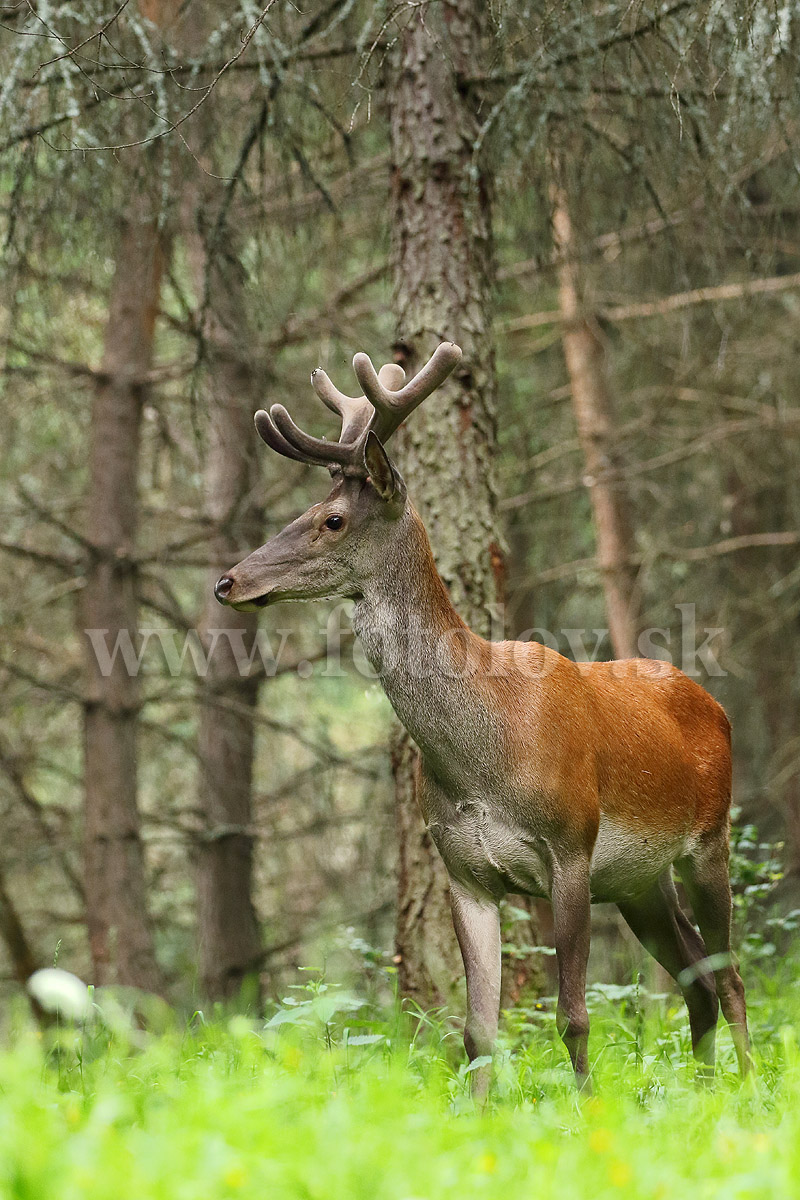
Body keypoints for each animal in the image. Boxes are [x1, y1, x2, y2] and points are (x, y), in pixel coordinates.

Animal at [214, 340, 753, 1099]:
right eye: (309, 508)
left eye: (332, 520)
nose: (228, 582)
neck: (481, 758)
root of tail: (714, 704)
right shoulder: (465, 871)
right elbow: (477, 1031)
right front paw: (481, 1115)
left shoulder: (571, 847)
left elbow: (573, 1015)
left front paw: (587, 1112)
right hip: (641, 880)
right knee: (696, 981)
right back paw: (703, 1094)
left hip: (708, 838)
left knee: (731, 978)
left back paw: (749, 1087)